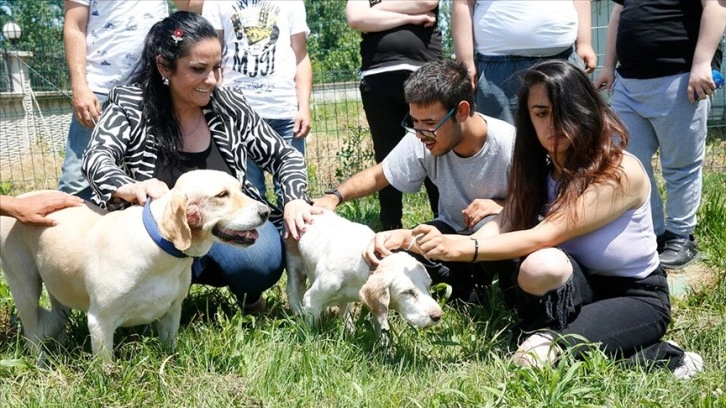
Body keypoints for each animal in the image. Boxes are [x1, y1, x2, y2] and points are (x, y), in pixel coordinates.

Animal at [0, 171, 270, 362]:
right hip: (24, 289)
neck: (160, 249)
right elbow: (105, 366)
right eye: (222, 195)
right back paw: (41, 363)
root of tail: (23, 198)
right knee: (32, 335)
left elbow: (168, 349)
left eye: (240, 188)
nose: (266, 212)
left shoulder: (172, 311)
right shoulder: (100, 320)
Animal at [284, 210, 444, 334]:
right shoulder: (312, 300)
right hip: (295, 268)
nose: (437, 316)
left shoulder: (377, 305)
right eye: (408, 292)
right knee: (293, 292)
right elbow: (312, 330)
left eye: (428, 287)